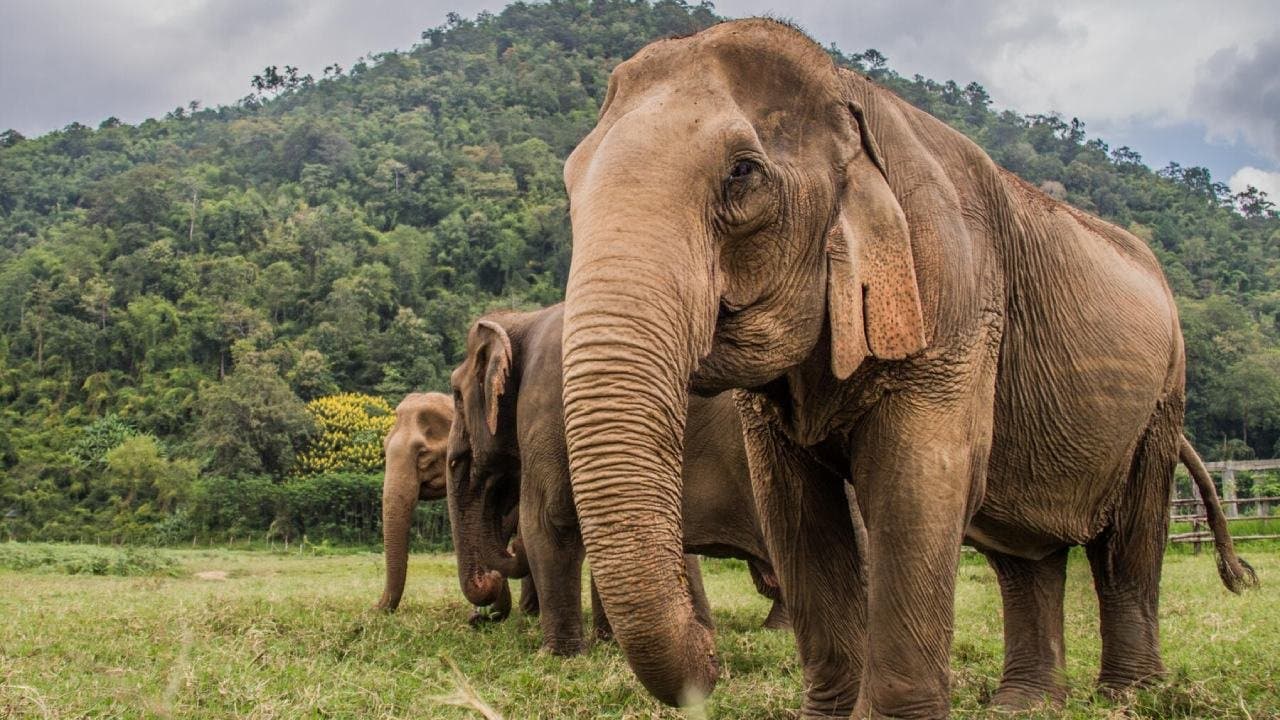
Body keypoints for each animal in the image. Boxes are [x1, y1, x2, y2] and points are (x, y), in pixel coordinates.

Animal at [445, 302, 788, 656]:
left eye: (456, 395)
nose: (479, 616)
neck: (525, 319)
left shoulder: (547, 402)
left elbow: (548, 519)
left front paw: (557, 655)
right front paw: (607, 642)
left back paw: (777, 629)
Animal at [557, 18, 1254, 717]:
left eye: (743, 173)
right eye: (569, 182)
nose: (711, 654)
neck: (847, 98)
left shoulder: (954, 295)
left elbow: (916, 484)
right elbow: (793, 509)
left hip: (1163, 398)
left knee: (1127, 544)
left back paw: (1127, 696)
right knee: (1025, 554)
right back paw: (1023, 704)